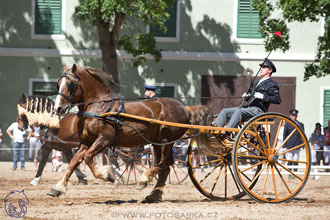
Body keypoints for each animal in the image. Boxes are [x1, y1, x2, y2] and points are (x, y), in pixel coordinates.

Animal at [50, 64, 189, 203]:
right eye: (58, 84)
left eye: (70, 85)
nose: (58, 108)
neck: (100, 107)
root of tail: (183, 108)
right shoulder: (86, 141)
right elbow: (74, 161)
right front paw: (57, 188)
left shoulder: (105, 139)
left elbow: (88, 157)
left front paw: (107, 176)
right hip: (157, 143)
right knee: (165, 167)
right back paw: (153, 194)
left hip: (166, 141)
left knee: (166, 163)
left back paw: (144, 179)